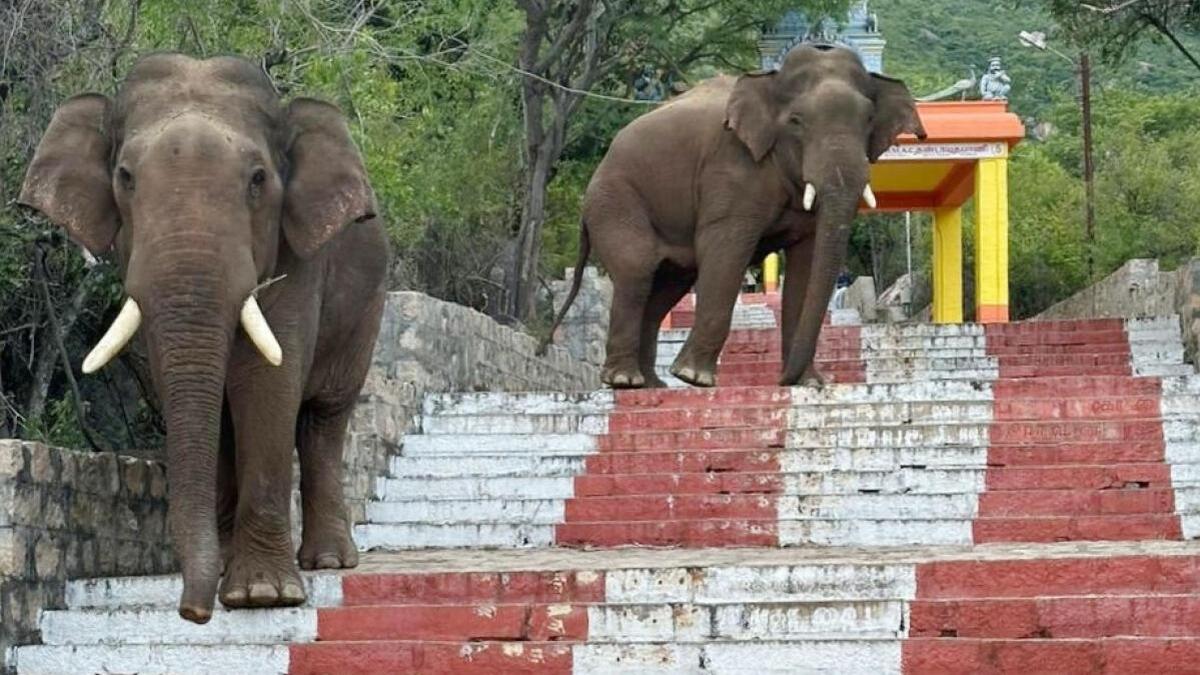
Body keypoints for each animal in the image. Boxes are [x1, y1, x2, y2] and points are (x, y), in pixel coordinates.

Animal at [19, 54, 388, 622]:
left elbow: (267, 383)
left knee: (325, 419)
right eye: (125, 177)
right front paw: (232, 583)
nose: (192, 613)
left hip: (365, 313)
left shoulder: (296, 261)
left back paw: (326, 562)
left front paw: (261, 595)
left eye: (258, 179)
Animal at [544, 45, 926, 388]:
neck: (769, 79)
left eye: (869, 121)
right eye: (796, 122)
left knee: (666, 286)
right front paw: (694, 378)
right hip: (616, 201)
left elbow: (807, 260)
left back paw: (650, 384)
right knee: (638, 271)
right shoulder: (730, 167)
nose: (781, 381)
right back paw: (625, 381)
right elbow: (727, 249)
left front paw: (808, 382)